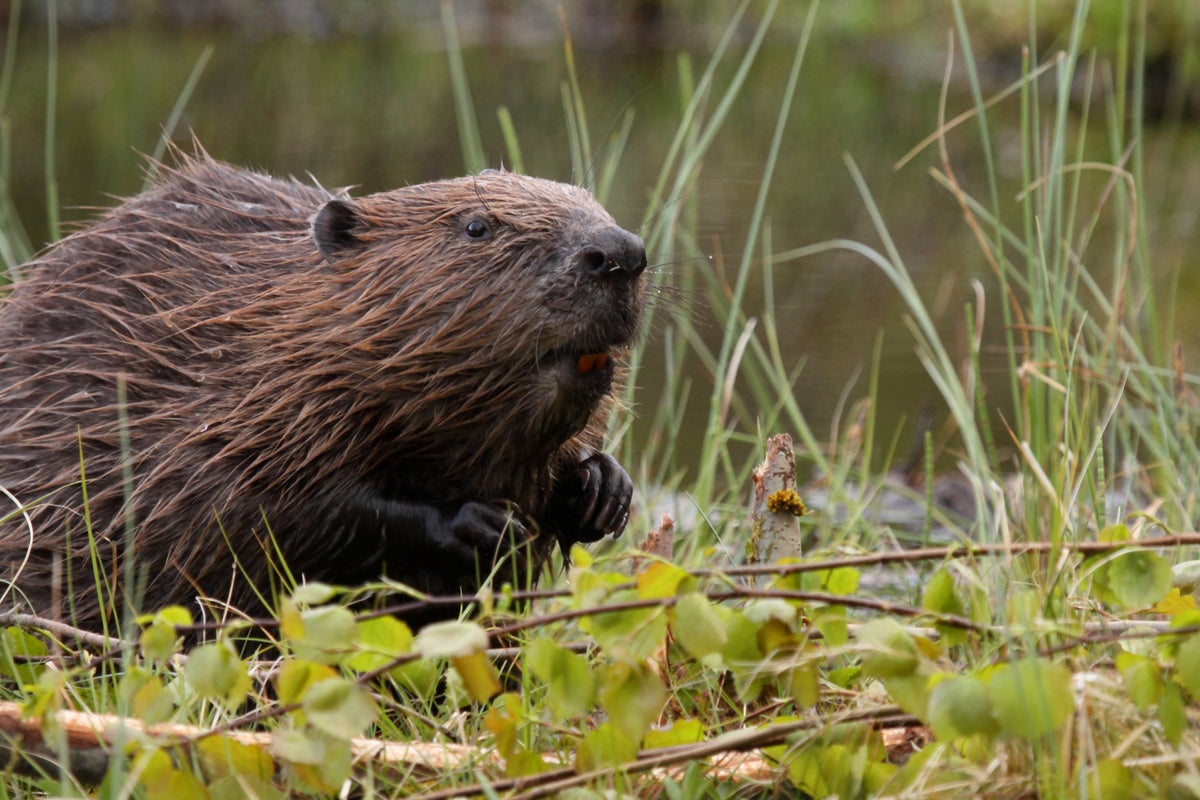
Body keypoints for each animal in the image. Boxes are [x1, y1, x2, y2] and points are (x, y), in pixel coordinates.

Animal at [0, 153, 648, 633]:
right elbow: (266, 511)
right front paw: (480, 523)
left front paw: (602, 489)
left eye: (592, 203)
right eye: (476, 227)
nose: (620, 254)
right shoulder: (217, 409)